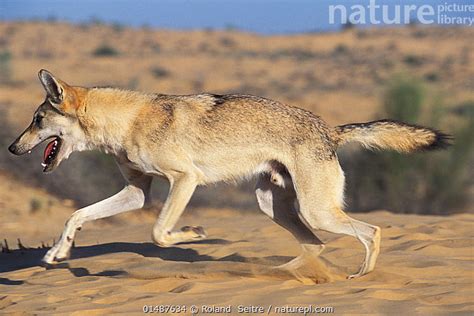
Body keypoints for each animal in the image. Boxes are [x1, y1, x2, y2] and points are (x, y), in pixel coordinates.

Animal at [8, 70, 452, 278]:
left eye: (36, 120)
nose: (12, 149)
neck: (127, 121)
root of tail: (330, 128)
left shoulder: (184, 180)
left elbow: (159, 232)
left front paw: (193, 233)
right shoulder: (137, 192)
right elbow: (76, 215)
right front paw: (57, 252)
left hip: (317, 211)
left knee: (370, 231)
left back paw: (361, 274)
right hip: (273, 206)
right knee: (316, 245)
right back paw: (280, 274)